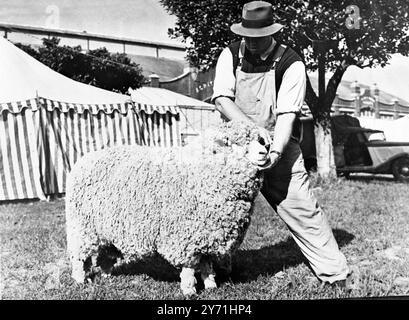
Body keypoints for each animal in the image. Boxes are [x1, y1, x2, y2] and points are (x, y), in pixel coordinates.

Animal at [65, 120, 270, 296]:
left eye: (258, 140)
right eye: (235, 143)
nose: (265, 152)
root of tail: (84, 159)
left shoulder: (207, 235)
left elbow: (207, 264)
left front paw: (211, 286)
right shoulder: (185, 238)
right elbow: (189, 269)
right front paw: (189, 290)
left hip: (105, 230)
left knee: (104, 255)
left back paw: (107, 276)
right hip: (81, 227)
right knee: (79, 257)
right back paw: (80, 279)